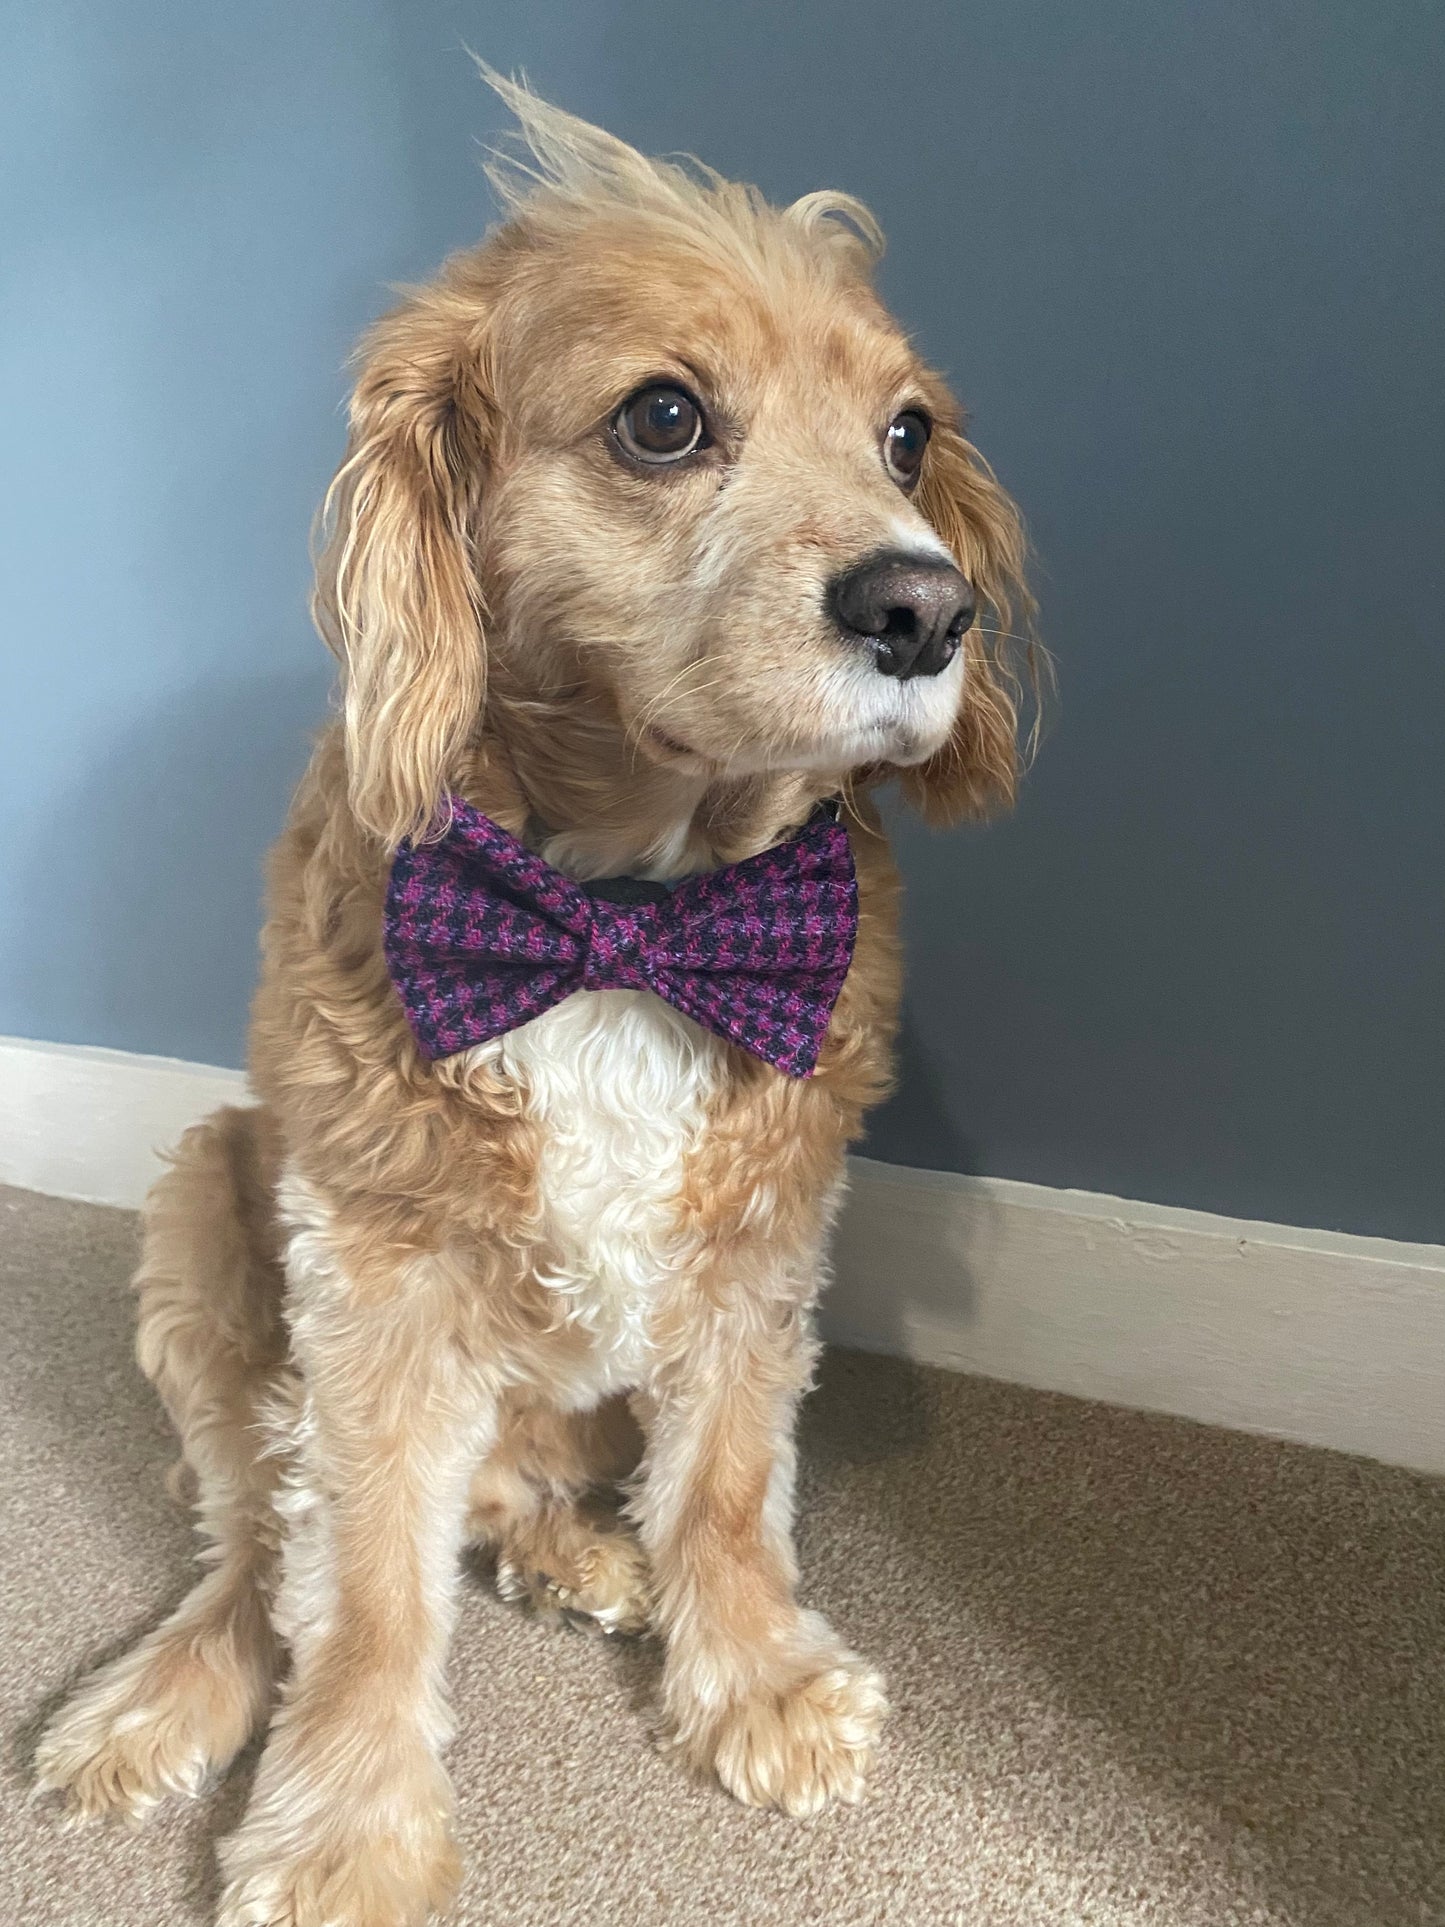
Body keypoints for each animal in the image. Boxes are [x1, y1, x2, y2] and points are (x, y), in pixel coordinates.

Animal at [33, 75, 1032, 1927]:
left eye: (907, 436)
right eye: (663, 418)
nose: (928, 605)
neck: (624, 917)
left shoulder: (764, 1236)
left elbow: (726, 1483)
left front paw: (754, 1676)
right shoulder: (371, 1269)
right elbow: (360, 1580)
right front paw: (347, 1827)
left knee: (510, 1483)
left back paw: (582, 1550)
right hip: (207, 1208)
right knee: (252, 1535)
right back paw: (165, 1694)